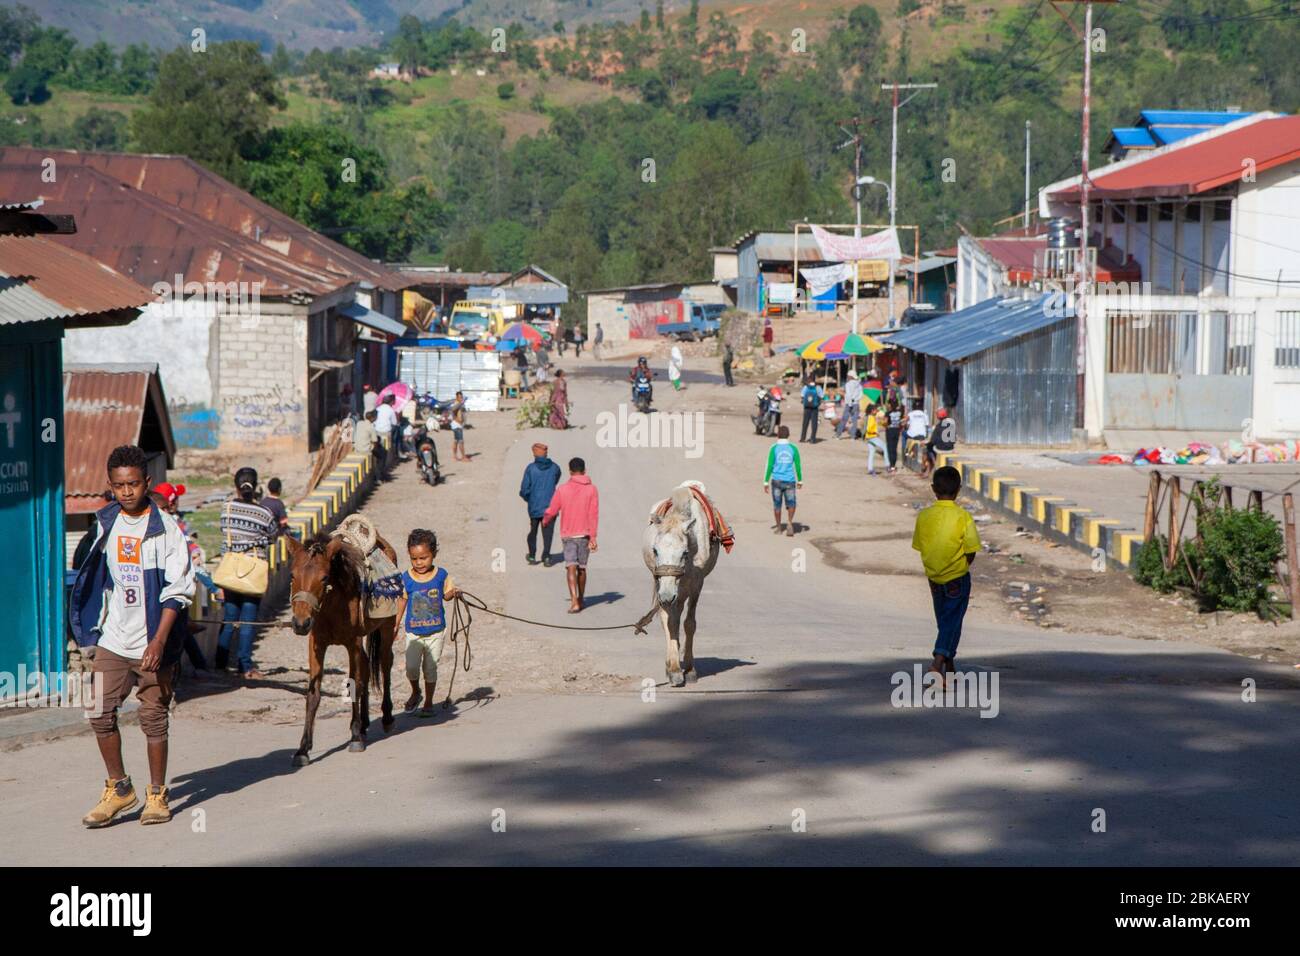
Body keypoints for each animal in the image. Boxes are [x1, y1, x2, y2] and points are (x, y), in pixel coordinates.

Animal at [287, 535, 397, 764]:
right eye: (293, 575)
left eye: (324, 577)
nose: (300, 623)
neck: (331, 606)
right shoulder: (316, 645)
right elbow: (313, 694)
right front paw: (303, 749)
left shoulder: (352, 642)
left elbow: (355, 684)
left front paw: (355, 738)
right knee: (366, 668)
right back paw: (364, 723)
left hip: (387, 627)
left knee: (385, 664)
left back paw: (386, 717)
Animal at [642, 481, 722, 686]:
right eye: (655, 550)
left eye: (684, 552)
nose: (666, 596)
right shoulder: (662, 583)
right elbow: (670, 621)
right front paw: (675, 670)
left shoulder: (696, 583)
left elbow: (689, 623)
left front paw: (690, 668)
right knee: (670, 618)